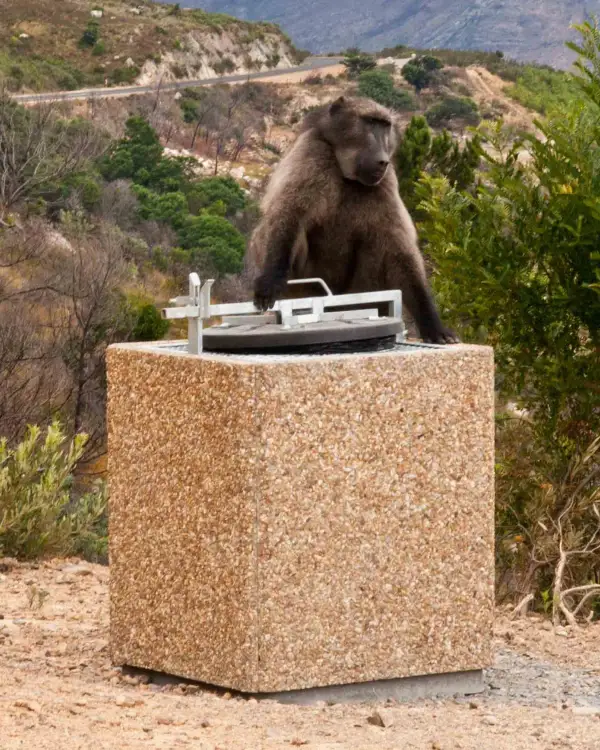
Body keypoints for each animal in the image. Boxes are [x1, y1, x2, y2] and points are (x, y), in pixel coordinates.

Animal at [245, 95, 458, 345]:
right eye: (370, 122)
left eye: (384, 126)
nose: (382, 160)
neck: (347, 175)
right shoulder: (313, 154)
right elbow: (288, 213)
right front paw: (270, 282)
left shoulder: (386, 182)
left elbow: (399, 246)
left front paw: (433, 326)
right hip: (304, 288)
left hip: (354, 293)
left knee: (378, 244)